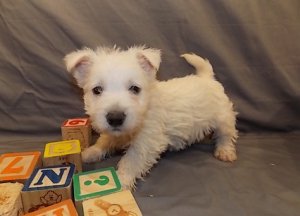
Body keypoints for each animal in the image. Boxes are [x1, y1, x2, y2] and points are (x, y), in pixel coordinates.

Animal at [64, 45, 238, 189]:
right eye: (97, 90)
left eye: (135, 88)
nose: (115, 118)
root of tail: (207, 78)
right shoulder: (115, 133)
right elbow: (105, 140)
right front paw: (90, 152)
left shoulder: (146, 141)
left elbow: (131, 160)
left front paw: (120, 180)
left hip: (223, 117)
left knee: (226, 135)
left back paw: (225, 152)